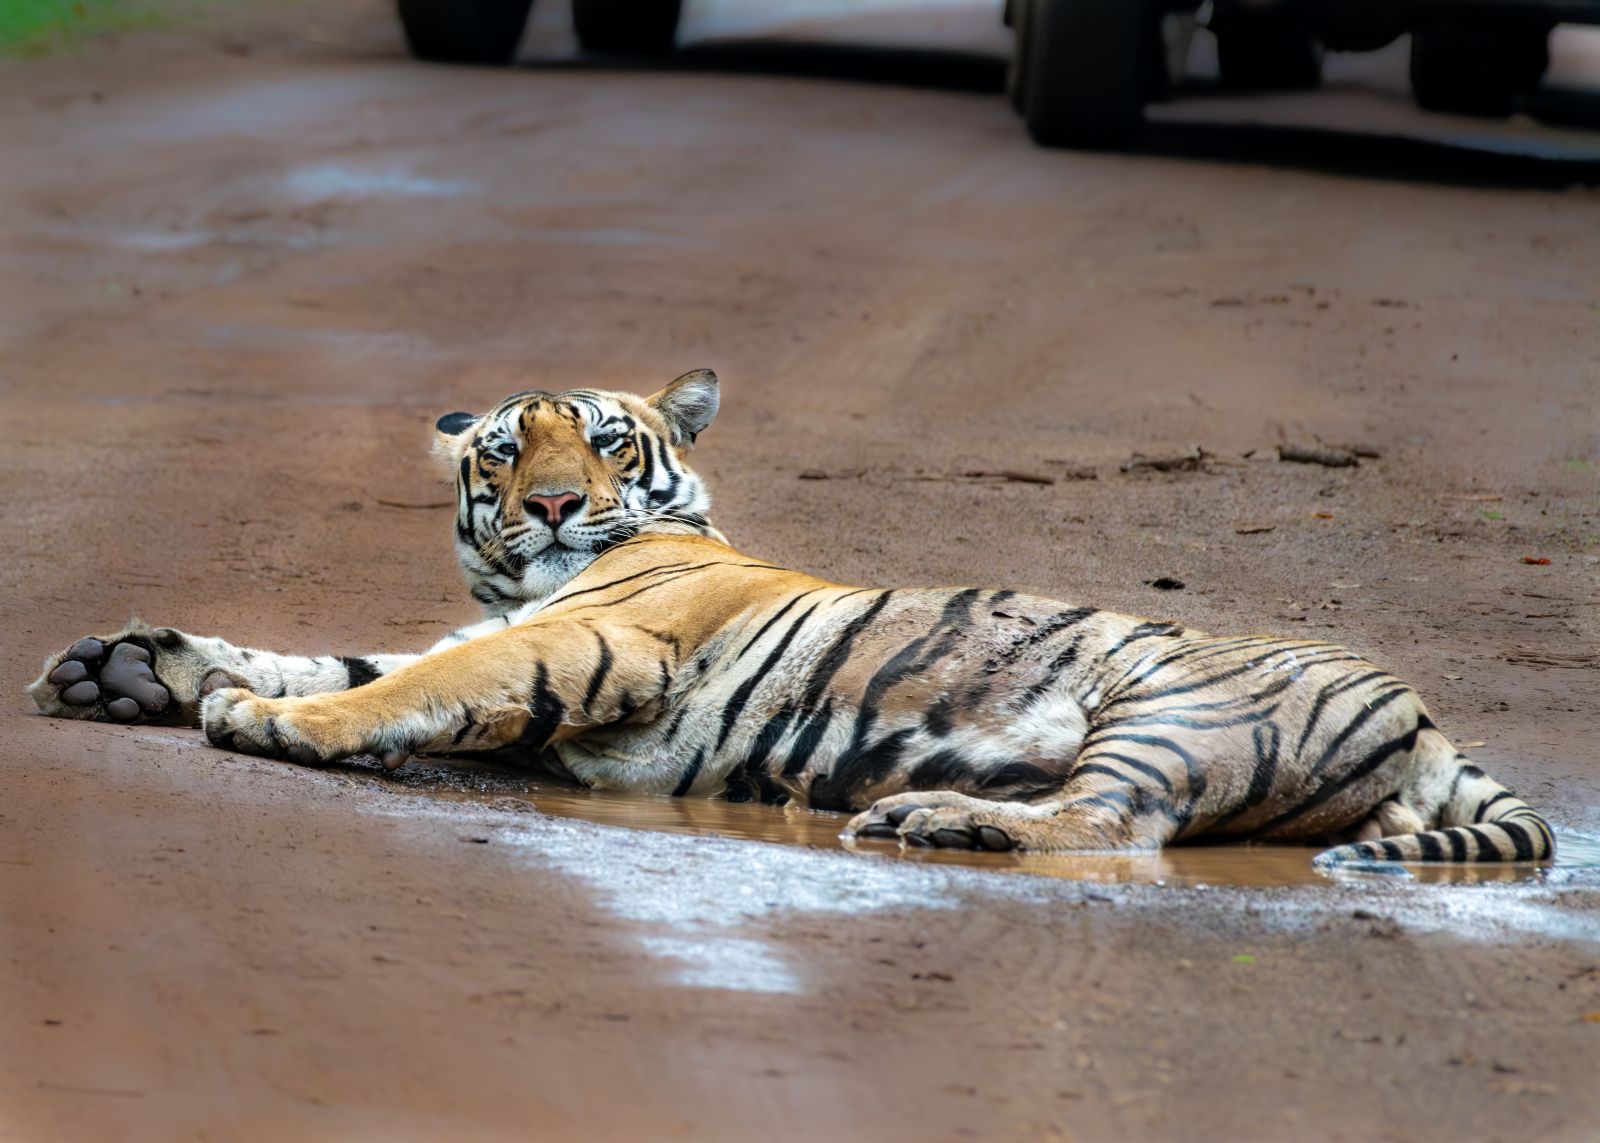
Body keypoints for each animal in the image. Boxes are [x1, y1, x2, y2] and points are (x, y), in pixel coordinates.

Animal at [29, 369, 1554, 868]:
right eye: (504, 456)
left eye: (602, 443)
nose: (553, 507)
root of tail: (1429, 717)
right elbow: (355, 657)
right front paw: (129, 669)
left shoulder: (588, 639)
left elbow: (389, 683)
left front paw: (263, 721)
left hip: (1176, 712)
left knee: (1114, 826)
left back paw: (934, 819)